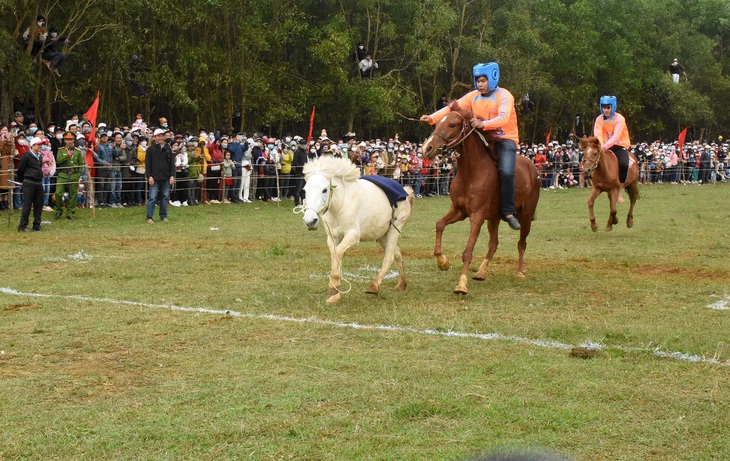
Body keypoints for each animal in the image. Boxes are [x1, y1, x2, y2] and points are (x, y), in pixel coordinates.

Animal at [296, 156, 410, 304]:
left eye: (325, 190)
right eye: (305, 190)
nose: (310, 221)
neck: (340, 205)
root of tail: (405, 191)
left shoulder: (352, 235)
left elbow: (338, 253)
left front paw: (333, 288)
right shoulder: (333, 238)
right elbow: (335, 256)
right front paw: (335, 293)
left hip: (394, 230)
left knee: (389, 257)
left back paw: (374, 286)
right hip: (382, 236)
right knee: (398, 254)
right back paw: (401, 284)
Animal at [418, 102, 536, 292]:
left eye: (452, 124)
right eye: (436, 124)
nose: (427, 149)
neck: (472, 173)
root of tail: (532, 168)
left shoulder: (477, 216)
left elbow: (468, 252)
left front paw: (461, 284)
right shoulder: (459, 210)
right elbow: (439, 225)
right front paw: (442, 262)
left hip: (525, 216)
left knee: (521, 243)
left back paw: (519, 273)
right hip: (494, 218)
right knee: (493, 244)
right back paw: (481, 272)